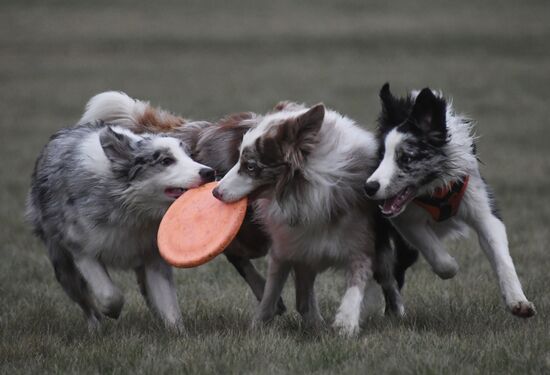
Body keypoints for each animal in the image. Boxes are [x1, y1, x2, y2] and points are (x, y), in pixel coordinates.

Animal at [27, 121, 216, 332]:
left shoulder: (153, 254)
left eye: (190, 155)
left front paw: (178, 333)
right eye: (167, 161)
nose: (209, 172)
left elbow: (168, 302)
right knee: (85, 302)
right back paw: (95, 328)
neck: (133, 211)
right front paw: (113, 311)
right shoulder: (82, 248)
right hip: (62, 263)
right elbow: (109, 294)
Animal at [364, 83, 536, 318]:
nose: (369, 187)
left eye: (406, 158)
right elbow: (438, 255)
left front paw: (519, 302)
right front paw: (452, 266)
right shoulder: (404, 220)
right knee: (393, 272)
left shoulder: (482, 208)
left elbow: (502, 256)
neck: (435, 187)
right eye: (381, 156)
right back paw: (394, 311)